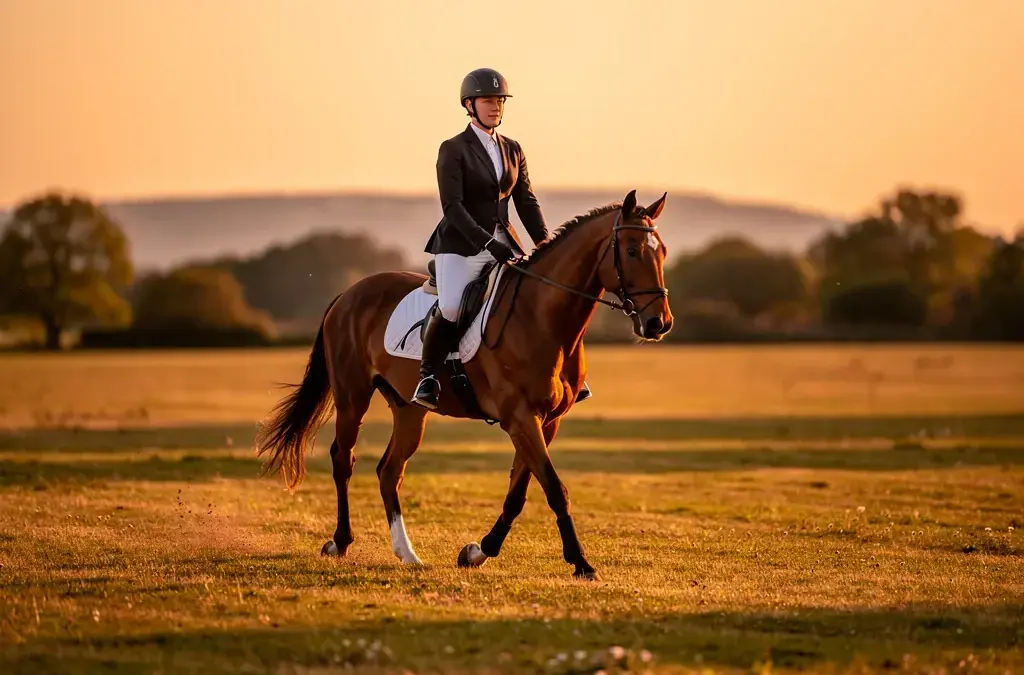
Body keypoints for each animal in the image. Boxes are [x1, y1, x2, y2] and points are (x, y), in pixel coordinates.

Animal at [254, 189, 672, 580]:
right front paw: (581, 563)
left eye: (663, 252)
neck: (542, 319)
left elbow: (518, 492)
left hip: (408, 409)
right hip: (352, 395)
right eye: (631, 250)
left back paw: (406, 553)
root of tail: (349, 293)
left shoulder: (546, 421)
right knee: (344, 459)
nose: (659, 324)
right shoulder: (521, 418)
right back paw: (340, 542)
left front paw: (478, 552)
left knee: (390, 471)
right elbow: (554, 488)